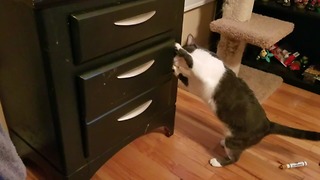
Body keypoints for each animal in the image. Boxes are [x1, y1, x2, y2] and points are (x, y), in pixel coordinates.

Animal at [174, 34, 320, 167]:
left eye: (177, 56)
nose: (174, 60)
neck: (202, 56)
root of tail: (268, 124)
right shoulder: (194, 86)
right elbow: (184, 74)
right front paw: (175, 69)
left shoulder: (201, 72)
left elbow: (191, 60)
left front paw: (178, 48)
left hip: (236, 140)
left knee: (234, 159)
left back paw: (217, 162)